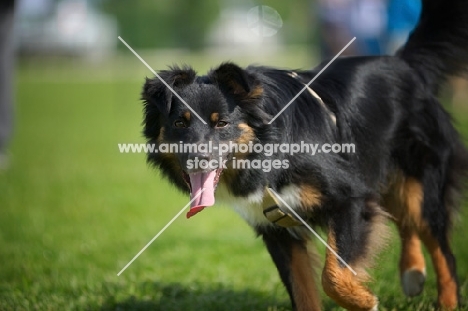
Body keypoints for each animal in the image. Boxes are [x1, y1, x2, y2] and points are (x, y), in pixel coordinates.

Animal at [141, 0, 468, 310]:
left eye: (221, 123)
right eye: (179, 123)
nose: (198, 160)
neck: (267, 155)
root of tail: (404, 64)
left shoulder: (349, 197)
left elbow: (332, 276)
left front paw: (364, 300)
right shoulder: (277, 229)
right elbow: (303, 291)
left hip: (421, 180)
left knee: (439, 246)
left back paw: (445, 302)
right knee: (404, 219)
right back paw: (412, 273)